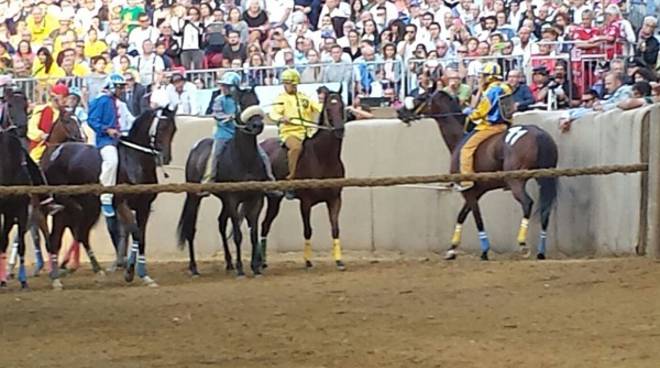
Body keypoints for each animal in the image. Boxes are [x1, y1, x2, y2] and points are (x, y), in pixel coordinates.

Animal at [41, 106, 178, 288]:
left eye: (174, 130)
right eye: (162, 128)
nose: (166, 157)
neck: (135, 162)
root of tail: (56, 153)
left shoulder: (144, 207)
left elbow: (140, 237)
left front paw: (144, 275)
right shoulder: (121, 204)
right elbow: (135, 233)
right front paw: (129, 272)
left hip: (87, 208)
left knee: (79, 233)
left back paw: (89, 271)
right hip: (66, 206)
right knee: (58, 236)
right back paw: (57, 278)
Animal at [178, 85, 268, 276]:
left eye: (257, 101)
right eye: (242, 103)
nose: (257, 125)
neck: (245, 159)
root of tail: (195, 148)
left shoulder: (255, 198)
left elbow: (253, 233)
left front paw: (255, 267)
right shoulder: (233, 199)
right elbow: (238, 235)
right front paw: (241, 268)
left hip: (223, 201)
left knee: (220, 223)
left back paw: (228, 263)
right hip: (195, 197)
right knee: (191, 228)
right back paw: (194, 267)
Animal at [260, 87, 348, 268]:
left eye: (342, 106)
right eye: (328, 109)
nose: (339, 130)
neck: (323, 158)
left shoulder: (335, 199)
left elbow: (335, 229)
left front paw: (339, 260)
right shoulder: (305, 203)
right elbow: (308, 230)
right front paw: (307, 260)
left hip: (275, 200)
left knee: (265, 225)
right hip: (271, 198)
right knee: (263, 225)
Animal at [398, 89, 556, 260]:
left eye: (420, 97)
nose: (400, 111)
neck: (460, 137)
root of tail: (539, 133)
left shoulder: (469, 191)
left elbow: (477, 218)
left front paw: (484, 251)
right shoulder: (477, 191)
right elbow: (461, 216)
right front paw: (452, 249)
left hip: (516, 181)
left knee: (527, 203)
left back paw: (522, 244)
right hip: (544, 179)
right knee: (546, 210)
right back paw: (541, 251)